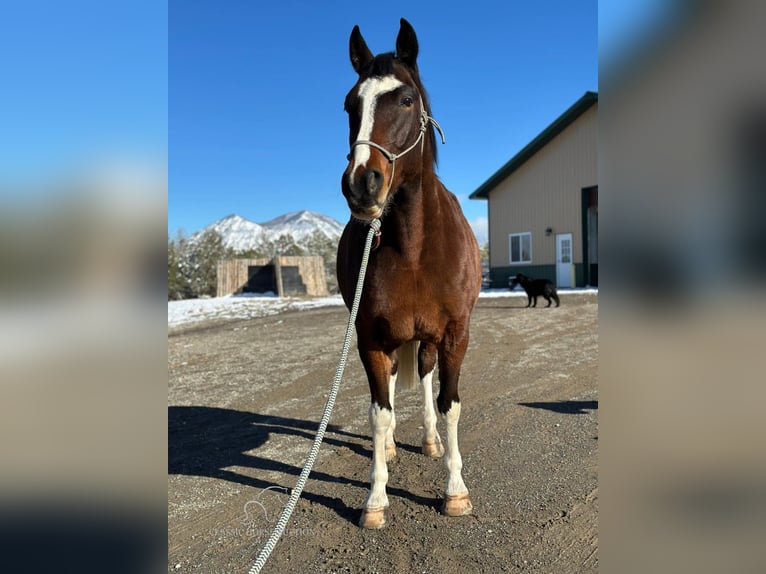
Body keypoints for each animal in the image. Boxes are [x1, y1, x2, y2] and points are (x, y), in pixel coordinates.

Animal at [336, 18, 480, 532]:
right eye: (350, 104)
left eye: (406, 99)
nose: (362, 184)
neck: (414, 248)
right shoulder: (371, 339)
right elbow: (379, 412)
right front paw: (376, 498)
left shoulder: (455, 334)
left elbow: (448, 404)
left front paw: (455, 490)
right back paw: (395, 446)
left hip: (429, 341)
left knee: (425, 380)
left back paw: (430, 441)